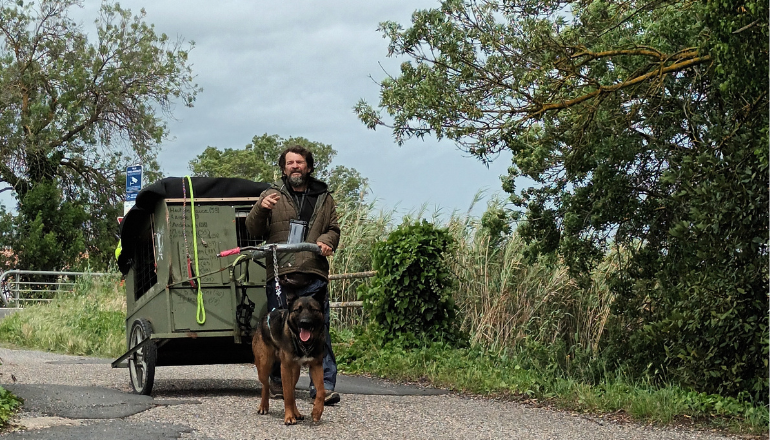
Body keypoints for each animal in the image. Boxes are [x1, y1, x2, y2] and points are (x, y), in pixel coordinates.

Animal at [252, 290, 324, 424]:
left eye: (313, 309)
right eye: (297, 310)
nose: (304, 322)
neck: (304, 344)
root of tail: (265, 316)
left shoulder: (316, 366)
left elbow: (321, 391)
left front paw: (317, 411)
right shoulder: (285, 368)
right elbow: (288, 395)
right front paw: (289, 417)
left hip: (295, 372)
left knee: (291, 389)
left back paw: (297, 413)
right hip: (264, 366)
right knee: (266, 385)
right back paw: (264, 406)